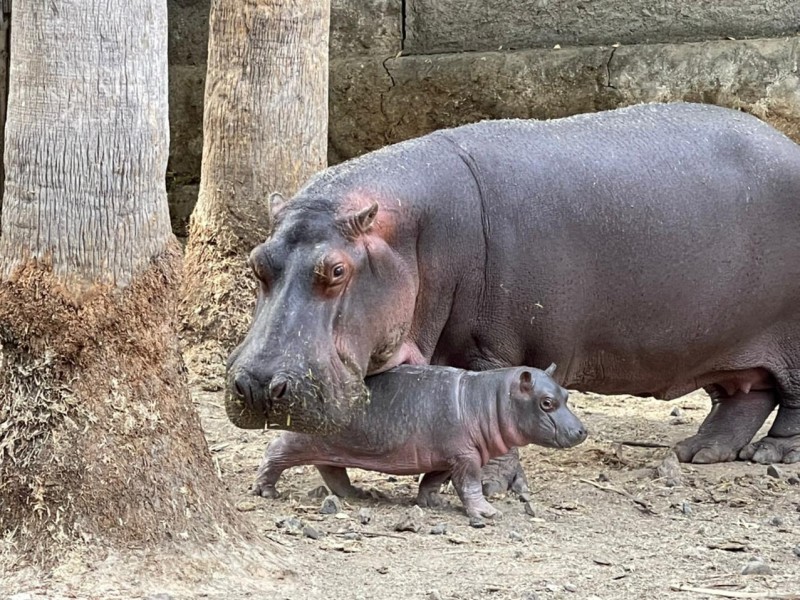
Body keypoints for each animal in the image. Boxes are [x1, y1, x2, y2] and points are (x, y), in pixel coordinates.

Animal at [225, 102, 800, 488]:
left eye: (337, 270)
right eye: (257, 260)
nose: (256, 386)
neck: (411, 232)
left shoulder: (493, 348)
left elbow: (493, 402)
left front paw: (481, 483)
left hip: (787, 336)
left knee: (789, 398)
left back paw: (771, 457)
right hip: (724, 342)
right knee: (746, 395)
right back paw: (696, 452)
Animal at [253, 364, 584, 516]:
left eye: (567, 394)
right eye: (546, 403)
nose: (582, 431)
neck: (487, 400)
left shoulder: (447, 455)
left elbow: (433, 479)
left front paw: (432, 501)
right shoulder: (466, 457)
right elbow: (469, 484)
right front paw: (487, 513)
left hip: (330, 447)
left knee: (333, 471)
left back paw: (361, 494)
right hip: (300, 440)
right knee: (275, 452)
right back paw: (266, 491)